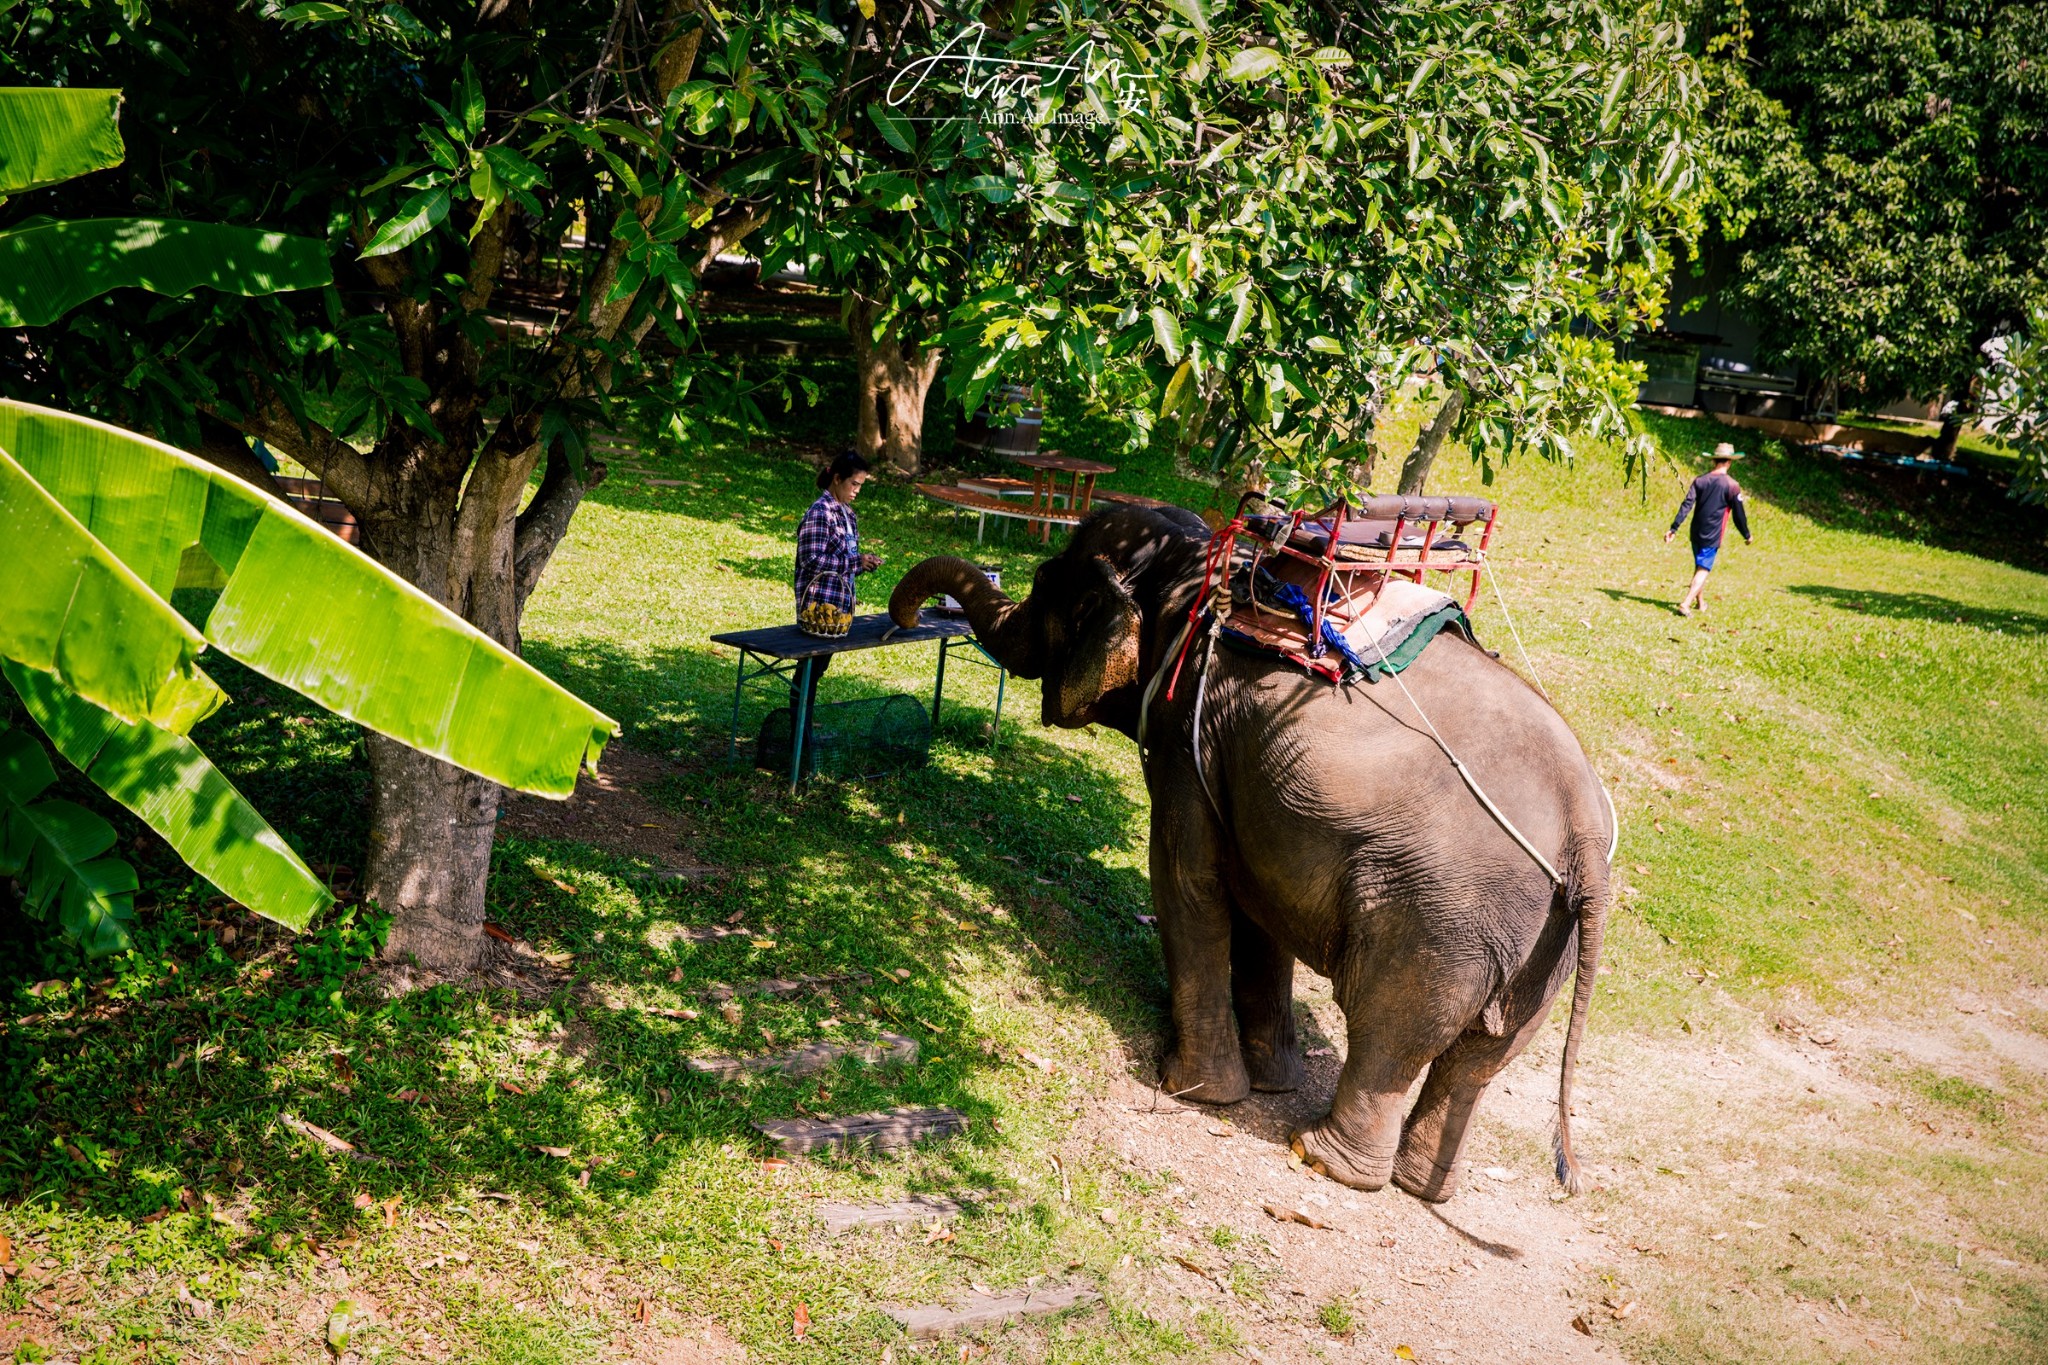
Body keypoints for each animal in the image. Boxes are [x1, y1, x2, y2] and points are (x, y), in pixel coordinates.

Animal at [892, 505, 1613, 1203]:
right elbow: (1262, 905)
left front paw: (1195, 1091)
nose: (910, 616)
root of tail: (1582, 832)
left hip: (1444, 915)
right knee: (1484, 1055)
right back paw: (1425, 1188)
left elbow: (1186, 879)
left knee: (1392, 1028)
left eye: (1044, 584)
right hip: (1545, 943)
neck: (1194, 559)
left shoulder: (1189, 731)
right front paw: (1272, 1081)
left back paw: (1322, 1157)